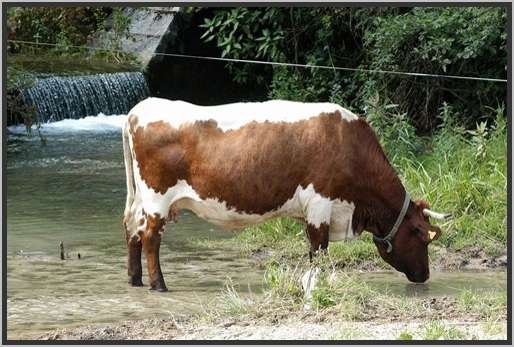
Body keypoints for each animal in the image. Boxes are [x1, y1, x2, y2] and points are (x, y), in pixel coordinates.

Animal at [121, 96, 448, 292]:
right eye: (423, 239)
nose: (425, 275)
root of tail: (140, 108)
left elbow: (316, 248)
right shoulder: (319, 204)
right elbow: (319, 248)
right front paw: (316, 284)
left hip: (140, 199)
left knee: (132, 229)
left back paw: (135, 279)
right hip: (157, 198)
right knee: (150, 237)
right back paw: (158, 284)